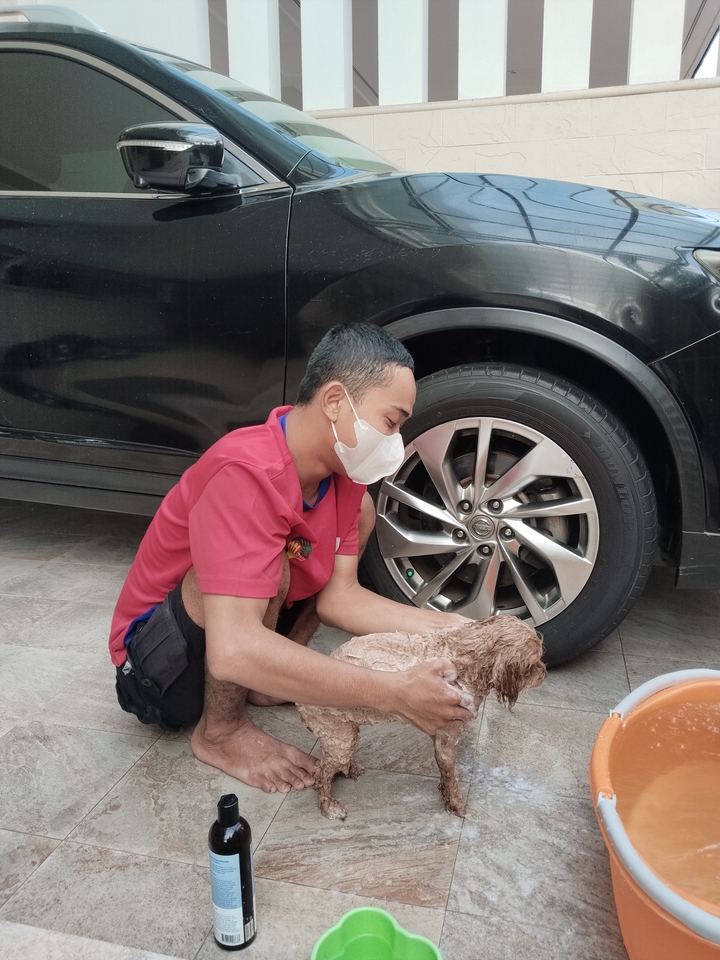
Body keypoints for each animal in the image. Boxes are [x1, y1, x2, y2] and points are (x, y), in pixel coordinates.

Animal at [296, 615, 546, 820]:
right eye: (533, 665)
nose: (544, 673)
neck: (464, 659)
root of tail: (299, 703)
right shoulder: (447, 735)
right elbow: (451, 775)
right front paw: (455, 804)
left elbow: (445, 774)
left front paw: (445, 795)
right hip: (336, 735)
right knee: (321, 774)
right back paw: (329, 806)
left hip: (347, 730)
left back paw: (349, 770)